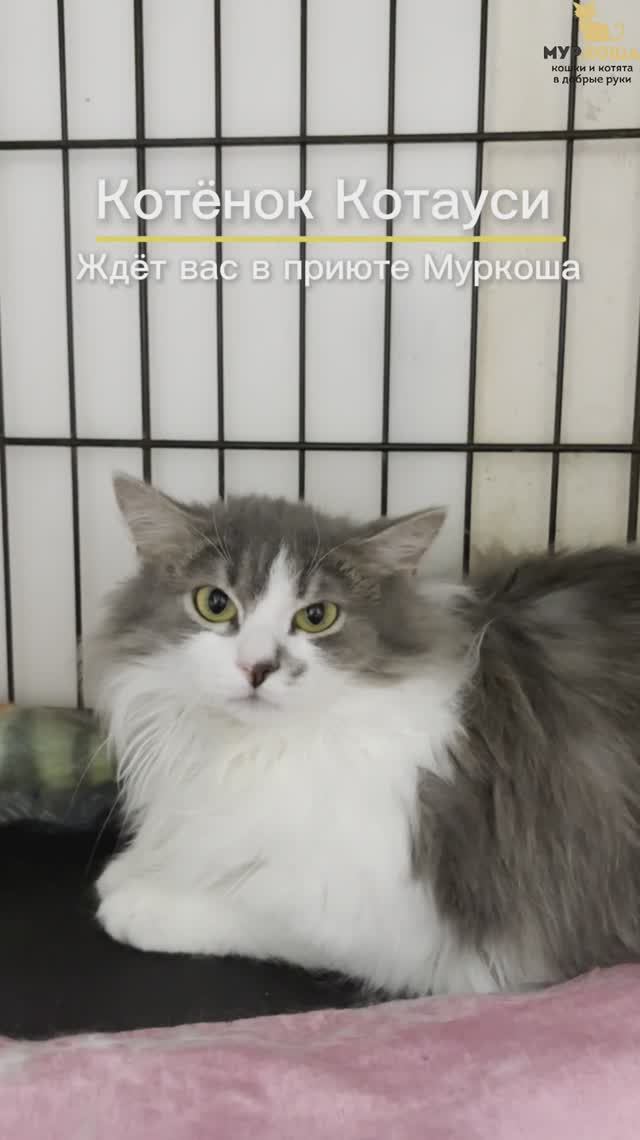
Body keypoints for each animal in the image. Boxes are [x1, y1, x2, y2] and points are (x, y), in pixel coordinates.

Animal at [90, 473, 640, 996]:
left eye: (317, 617)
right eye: (215, 603)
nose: (257, 667)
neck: (251, 747)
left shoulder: (415, 928)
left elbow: (260, 909)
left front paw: (141, 902)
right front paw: (137, 865)